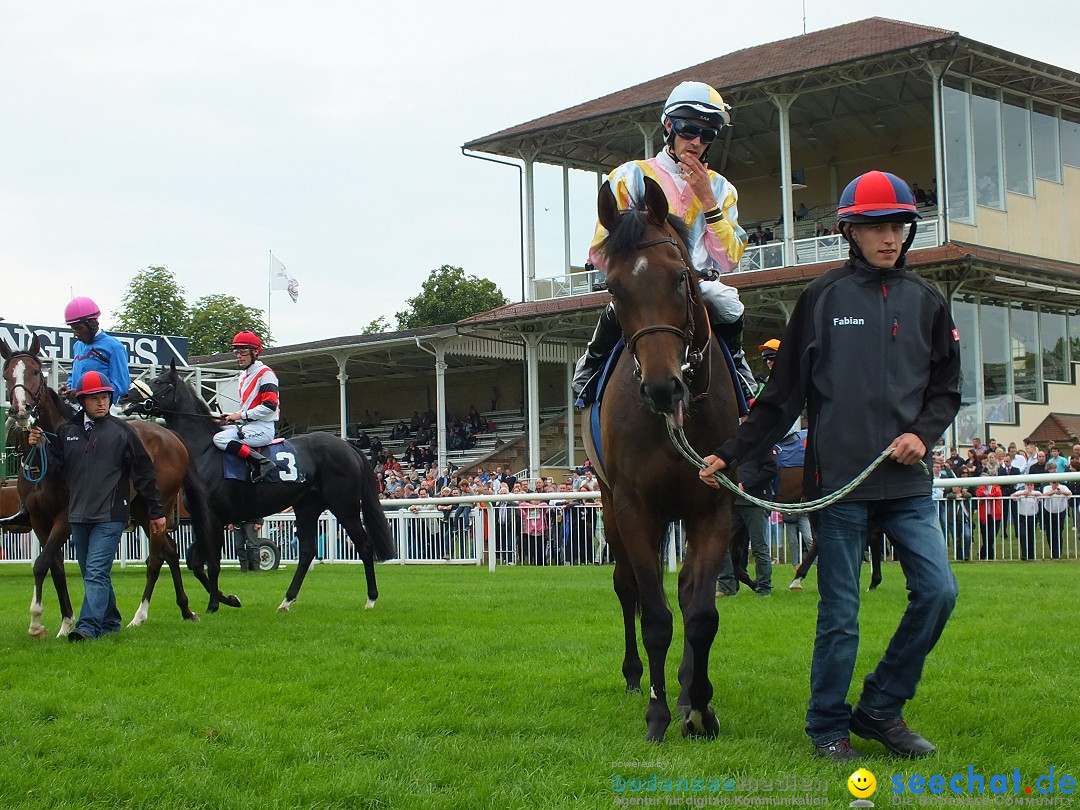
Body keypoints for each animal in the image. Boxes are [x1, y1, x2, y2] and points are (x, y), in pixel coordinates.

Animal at [130, 365, 393, 613]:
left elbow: (212, 564)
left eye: (159, 382)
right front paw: (229, 599)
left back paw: (371, 599)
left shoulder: (214, 518)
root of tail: (348, 446)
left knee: (364, 546)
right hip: (307, 506)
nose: (128, 396)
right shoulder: (200, 519)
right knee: (307, 552)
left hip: (344, 506)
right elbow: (195, 563)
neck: (205, 451)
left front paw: (214, 605)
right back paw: (286, 601)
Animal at [583, 179, 743, 747]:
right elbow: (653, 614)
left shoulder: (714, 506)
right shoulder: (635, 508)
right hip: (609, 505)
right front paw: (657, 713)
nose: (661, 387)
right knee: (626, 587)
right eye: (613, 289)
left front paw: (698, 705)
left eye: (679, 276)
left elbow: (700, 612)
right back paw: (636, 677)